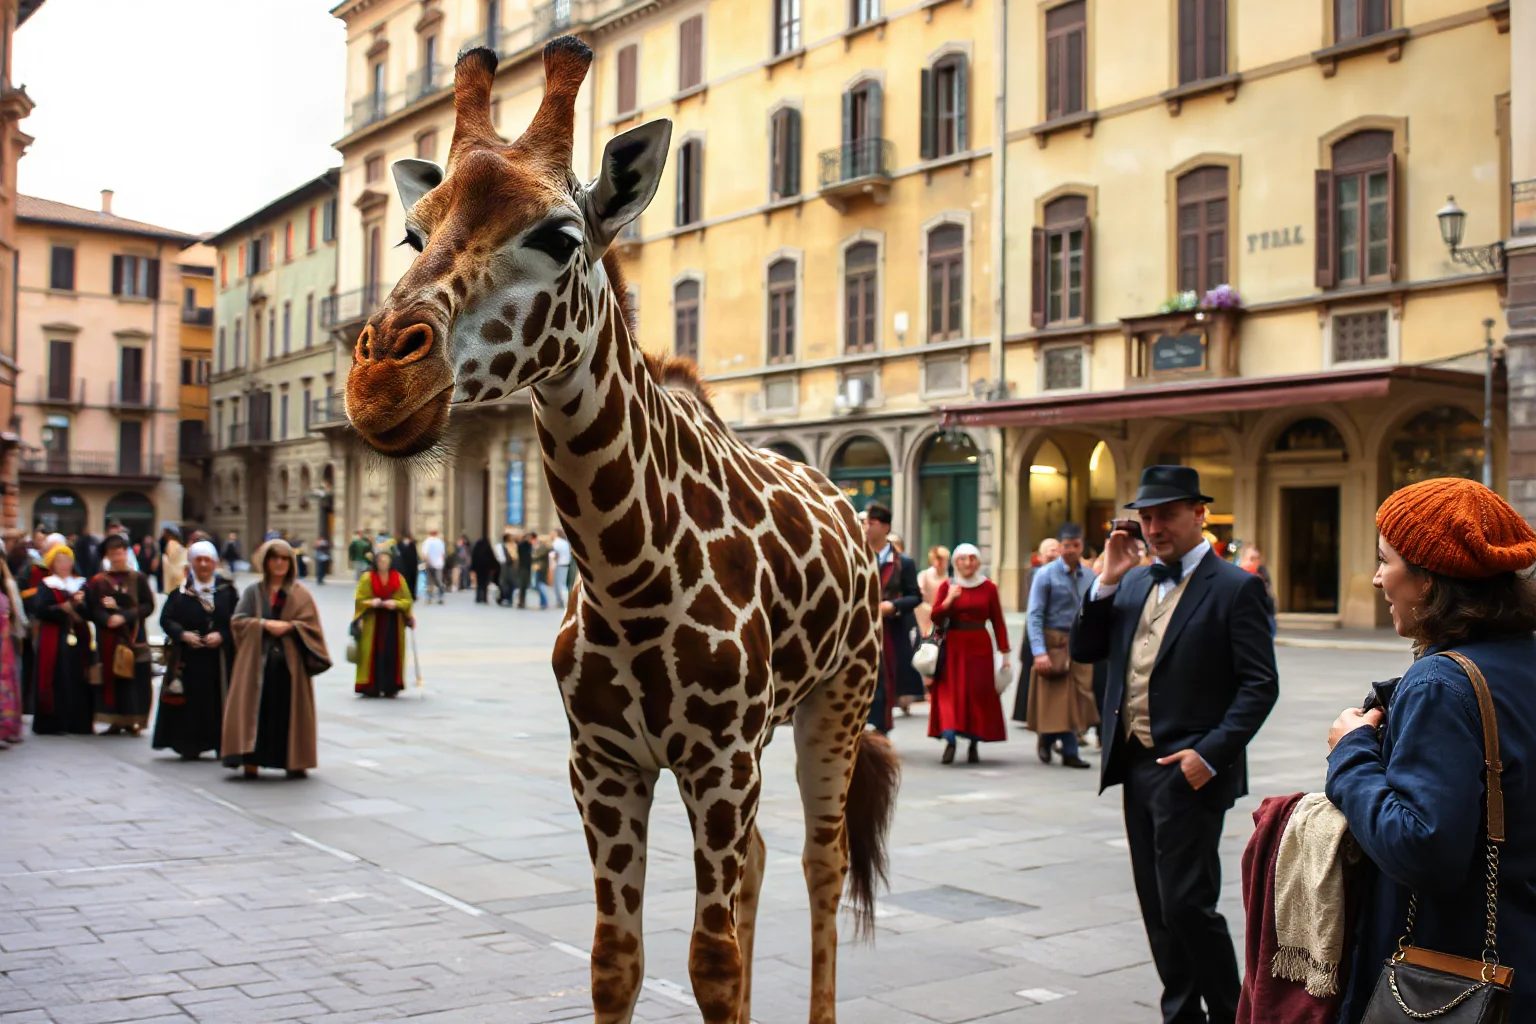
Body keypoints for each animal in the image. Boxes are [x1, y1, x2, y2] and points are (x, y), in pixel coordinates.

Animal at [344, 39, 900, 1024]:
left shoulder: (719, 762)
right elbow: (615, 958)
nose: (379, 384)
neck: (627, 570)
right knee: (764, 863)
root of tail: (849, 505)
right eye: (412, 235)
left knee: (822, 862)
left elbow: (710, 963)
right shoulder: (602, 764)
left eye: (560, 237)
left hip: (840, 697)